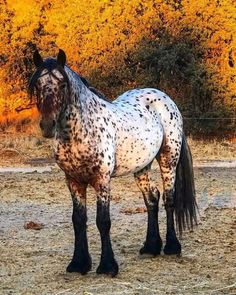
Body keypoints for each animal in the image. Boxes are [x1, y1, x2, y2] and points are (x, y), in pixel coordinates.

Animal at [28, 48, 197, 278]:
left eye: (62, 84)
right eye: (37, 85)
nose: (47, 125)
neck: (81, 131)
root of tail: (164, 98)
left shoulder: (102, 180)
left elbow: (103, 221)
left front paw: (107, 266)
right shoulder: (73, 180)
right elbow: (78, 220)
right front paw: (78, 264)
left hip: (168, 158)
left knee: (168, 199)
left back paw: (172, 247)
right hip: (141, 167)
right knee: (151, 198)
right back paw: (150, 247)